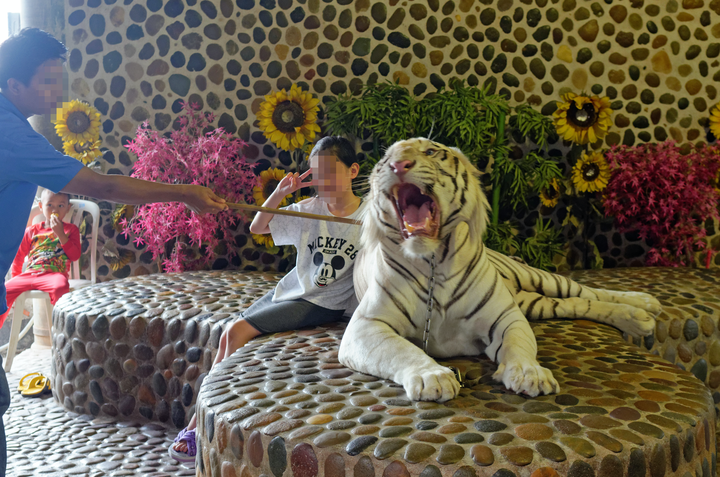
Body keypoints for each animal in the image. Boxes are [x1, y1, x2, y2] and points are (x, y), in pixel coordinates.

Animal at [338, 138, 660, 402]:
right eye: (384, 160)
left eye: (429, 152)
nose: (398, 165)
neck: (433, 264)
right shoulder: (366, 326)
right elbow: (403, 350)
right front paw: (433, 377)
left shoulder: (507, 317)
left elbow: (519, 345)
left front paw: (530, 374)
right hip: (534, 304)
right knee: (576, 304)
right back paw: (640, 318)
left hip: (537, 280)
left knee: (587, 291)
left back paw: (644, 305)